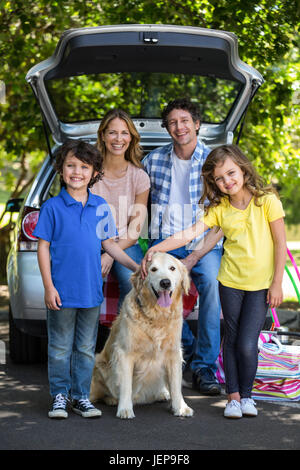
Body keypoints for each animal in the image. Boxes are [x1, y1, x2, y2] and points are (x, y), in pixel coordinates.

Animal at [91, 253, 195, 418]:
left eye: (172, 268)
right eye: (153, 269)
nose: (165, 282)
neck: (157, 317)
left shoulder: (173, 353)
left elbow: (175, 385)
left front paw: (180, 407)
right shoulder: (125, 353)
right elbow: (126, 385)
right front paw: (125, 409)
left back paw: (162, 393)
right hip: (99, 365)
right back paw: (111, 399)